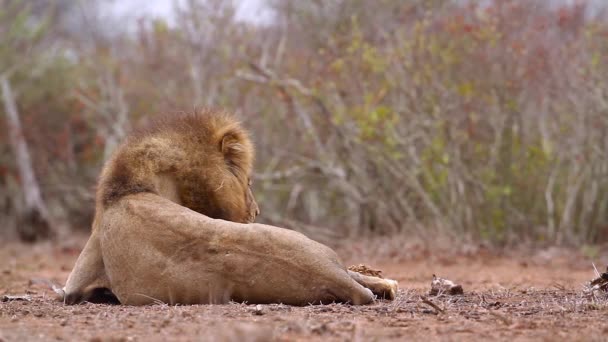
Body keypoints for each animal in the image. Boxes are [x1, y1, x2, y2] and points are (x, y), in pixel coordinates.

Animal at [64, 109, 400, 304]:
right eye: (249, 181)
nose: (257, 212)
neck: (127, 190)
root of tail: (331, 277)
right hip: (321, 252)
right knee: (358, 278)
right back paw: (388, 283)